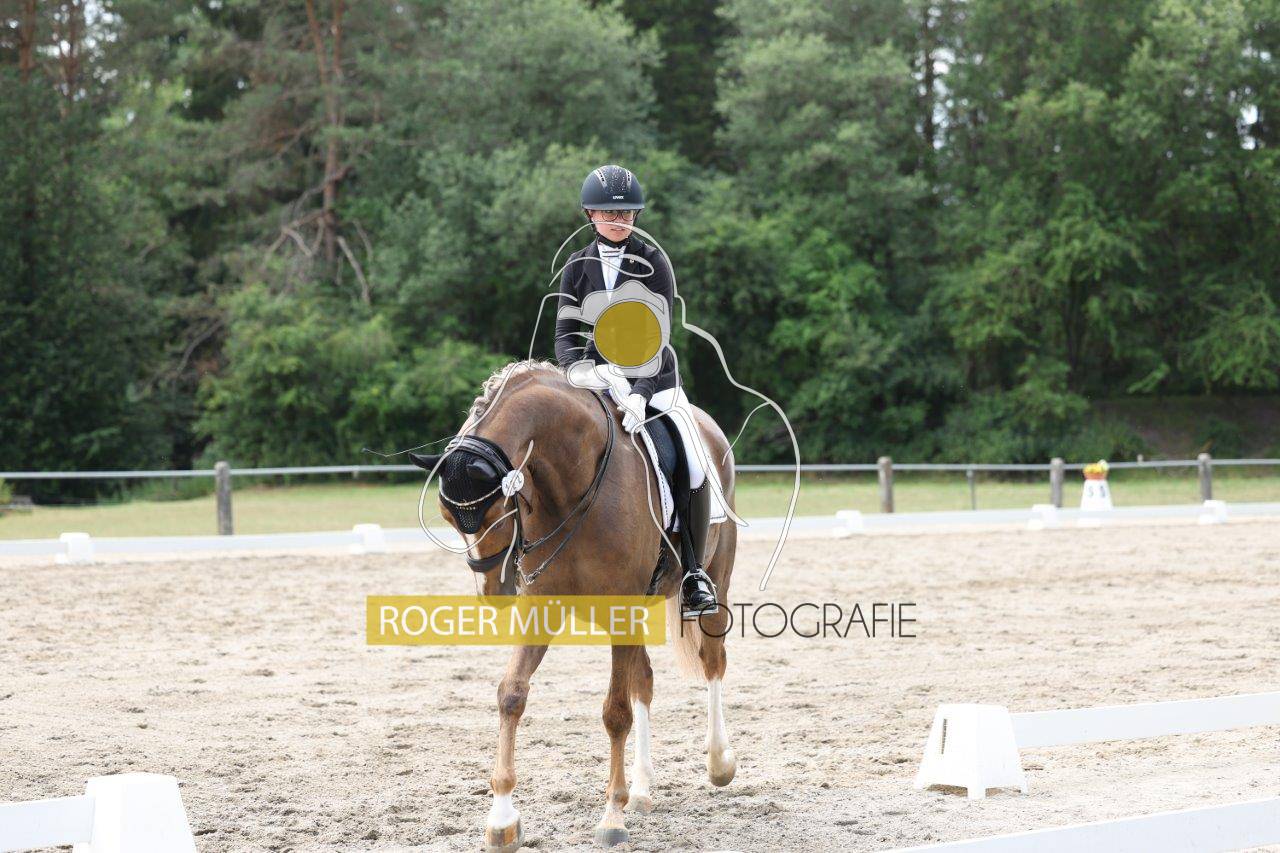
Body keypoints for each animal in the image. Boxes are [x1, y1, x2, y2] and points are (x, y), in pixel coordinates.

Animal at [410, 360, 739, 851]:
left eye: (500, 512)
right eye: (449, 517)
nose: (493, 591)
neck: (571, 480)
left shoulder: (621, 611)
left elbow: (615, 713)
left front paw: (612, 816)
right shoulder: (542, 608)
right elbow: (511, 694)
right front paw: (502, 819)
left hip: (715, 576)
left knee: (712, 660)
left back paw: (719, 764)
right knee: (644, 680)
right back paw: (643, 789)